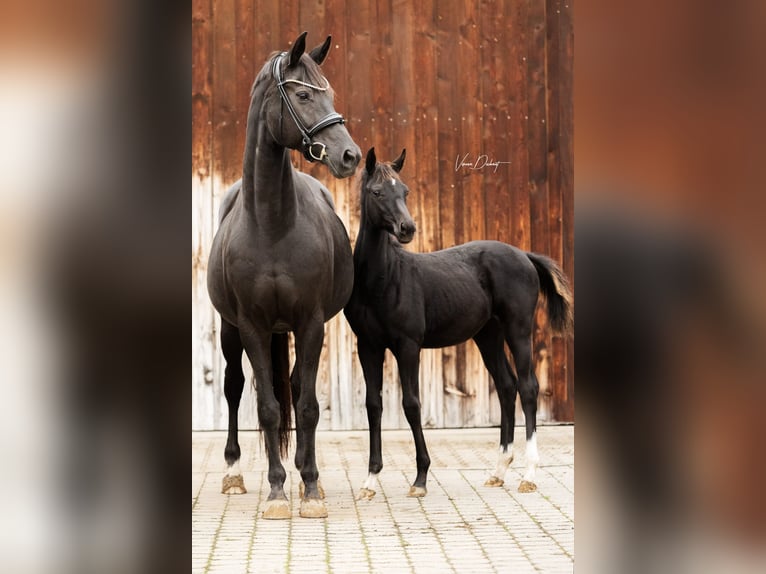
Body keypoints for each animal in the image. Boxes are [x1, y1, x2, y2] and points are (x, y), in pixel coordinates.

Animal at [206, 32, 361, 519]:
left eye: (331, 93)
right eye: (304, 95)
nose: (350, 155)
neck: (272, 224)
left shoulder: (311, 323)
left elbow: (306, 405)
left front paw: (308, 487)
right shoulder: (252, 326)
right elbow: (268, 407)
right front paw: (276, 492)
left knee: (294, 386)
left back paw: (307, 473)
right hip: (231, 330)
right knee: (235, 388)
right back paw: (234, 472)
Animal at [344, 148, 573, 499]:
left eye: (405, 191)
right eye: (377, 192)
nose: (407, 228)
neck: (382, 280)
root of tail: (524, 255)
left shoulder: (408, 346)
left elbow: (411, 404)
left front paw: (420, 478)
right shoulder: (368, 346)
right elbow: (373, 405)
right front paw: (369, 482)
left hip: (518, 330)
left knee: (528, 387)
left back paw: (529, 474)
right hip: (488, 335)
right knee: (506, 386)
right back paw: (498, 471)